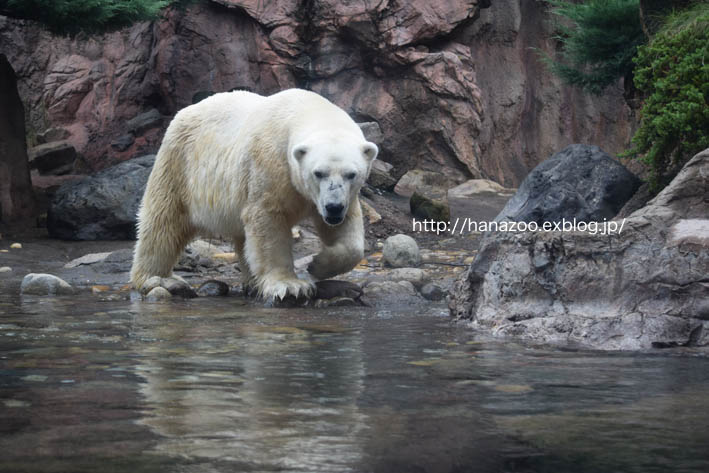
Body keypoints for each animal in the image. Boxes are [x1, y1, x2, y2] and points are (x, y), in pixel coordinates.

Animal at [131, 88, 378, 298]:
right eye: (318, 173)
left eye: (351, 174)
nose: (333, 207)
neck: (306, 110)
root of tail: (184, 111)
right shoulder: (270, 163)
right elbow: (268, 220)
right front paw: (290, 286)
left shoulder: (338, 197)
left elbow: (349, 236)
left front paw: (318, 264)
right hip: (179, 164)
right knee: (163, 222)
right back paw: (160, 279)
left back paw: (251, 282)